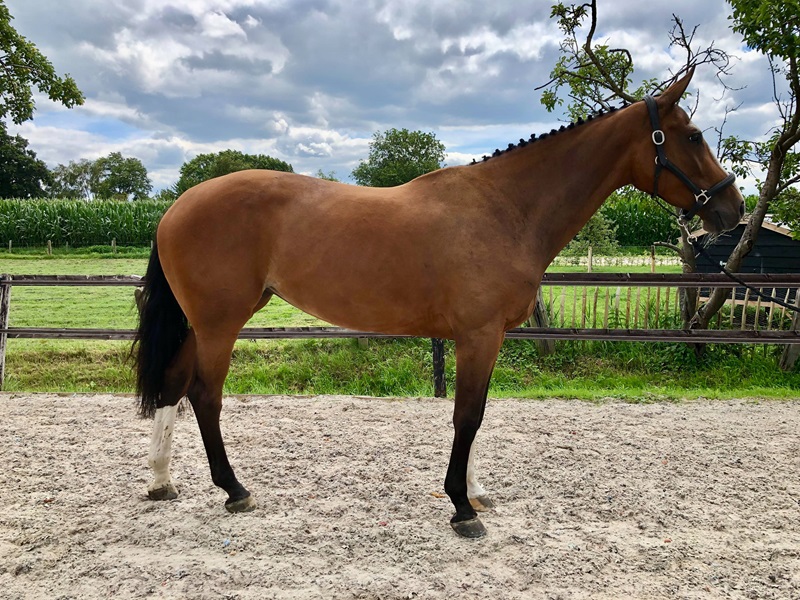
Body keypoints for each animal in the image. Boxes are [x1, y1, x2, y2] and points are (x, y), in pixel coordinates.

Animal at [134, 67, 744, 538]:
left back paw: (162, 482)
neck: (505, 209)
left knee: (171, 387)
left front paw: (475, 492)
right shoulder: (478, 335)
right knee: (203, 395)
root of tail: (175, 206)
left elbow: (477, 413)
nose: (732, 209)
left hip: (201, 323)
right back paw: (234, 490)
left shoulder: (486, 338)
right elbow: (467, 415)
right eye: (692, 136)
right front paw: (461, 508)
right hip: (220, 324)